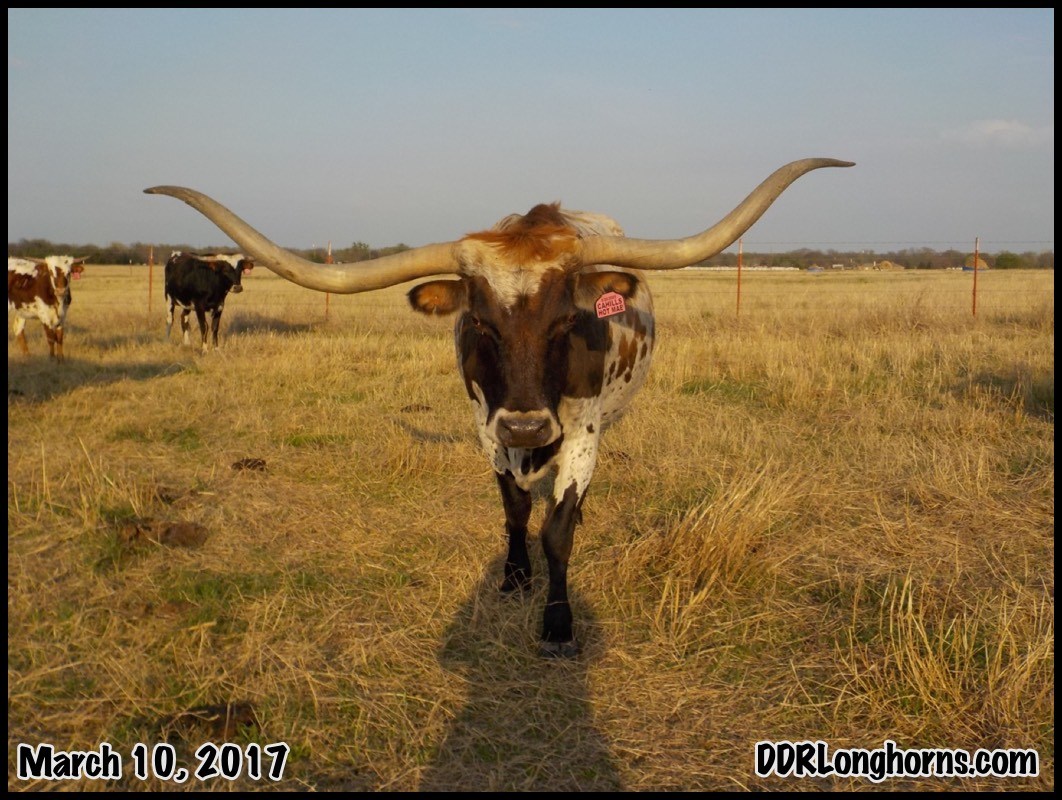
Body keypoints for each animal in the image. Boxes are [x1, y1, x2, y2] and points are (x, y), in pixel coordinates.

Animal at [146, 157, 854, 656]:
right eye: (480, 323)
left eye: (566, 319)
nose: (527, 423)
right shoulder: (486, 428)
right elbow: (514, 511)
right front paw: (515, 577)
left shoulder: (583, 433)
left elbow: (559, 530)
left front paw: (559, 622)